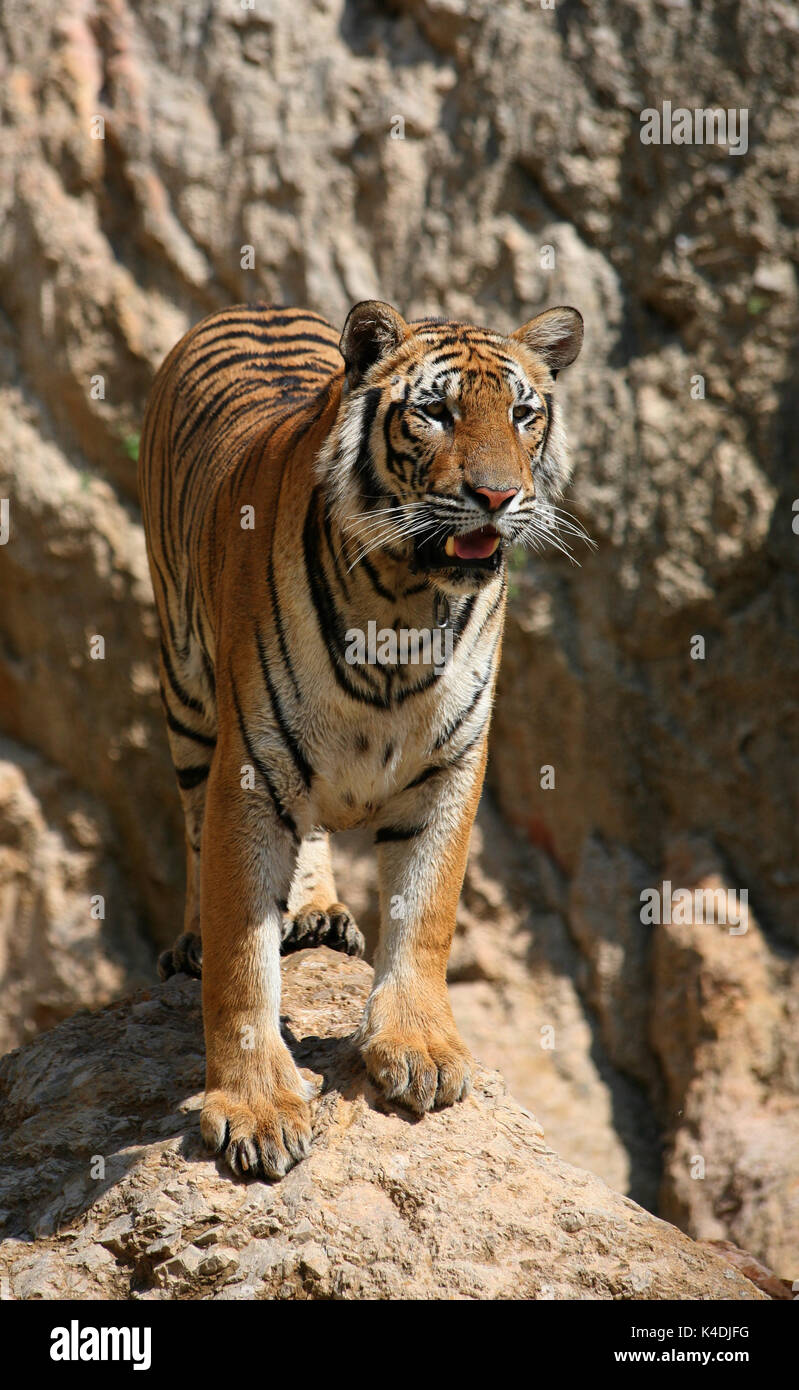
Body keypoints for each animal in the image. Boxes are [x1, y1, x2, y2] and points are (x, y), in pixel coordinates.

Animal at [140, 298, 583, 1178]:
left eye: (523, 415)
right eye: (435, 412)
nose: (496, 495)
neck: (405, 602)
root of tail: (255, 302)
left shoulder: (451, 766)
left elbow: (426, 911)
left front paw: (417, 1049)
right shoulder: (250, 768)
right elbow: (241, 961)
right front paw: (255, 1108)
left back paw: (314, 913)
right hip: (188, 696)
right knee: (195, 827)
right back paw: (195, 939)